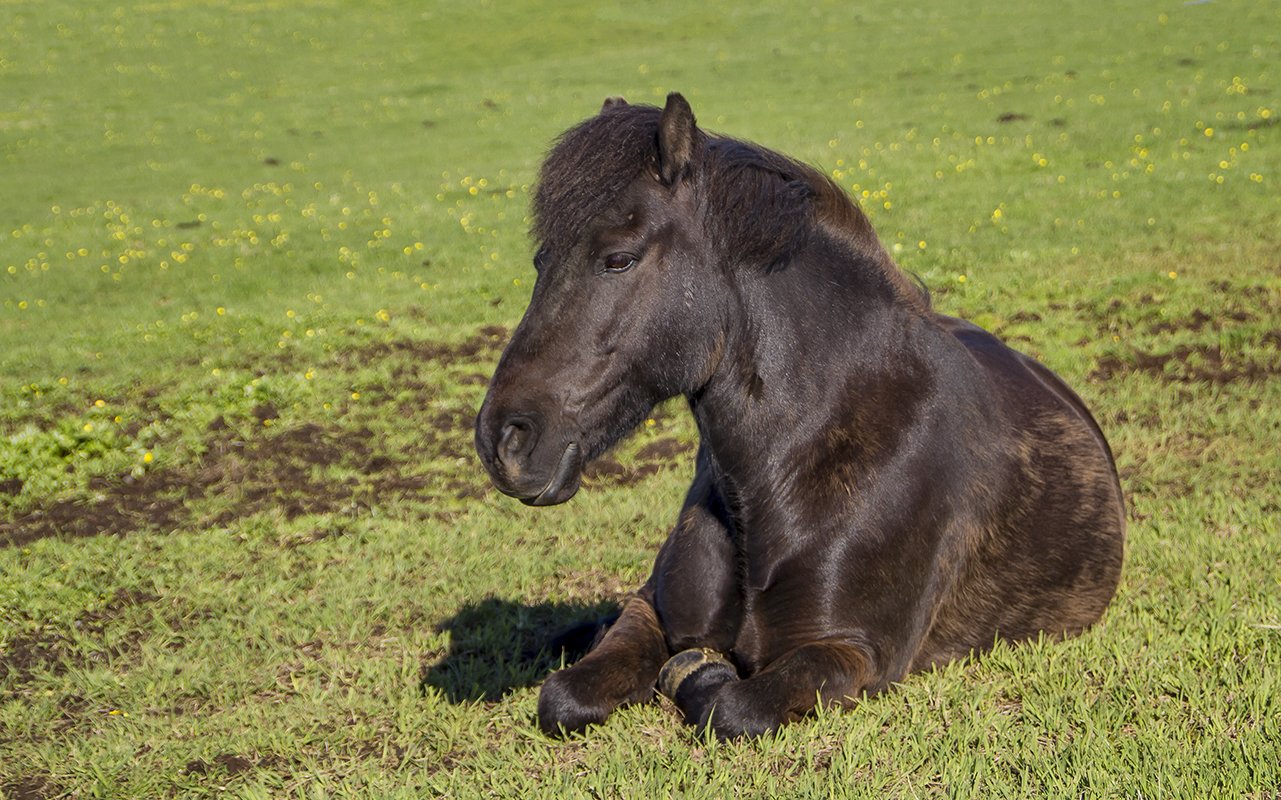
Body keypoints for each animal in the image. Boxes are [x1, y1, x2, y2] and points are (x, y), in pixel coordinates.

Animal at [473, 92, 1122, 737]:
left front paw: (704, 678)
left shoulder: (853, 653)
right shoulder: (648, 609)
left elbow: (732, 707)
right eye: (540, 260)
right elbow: (564, 695)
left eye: (618, 259)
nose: (504, 442)